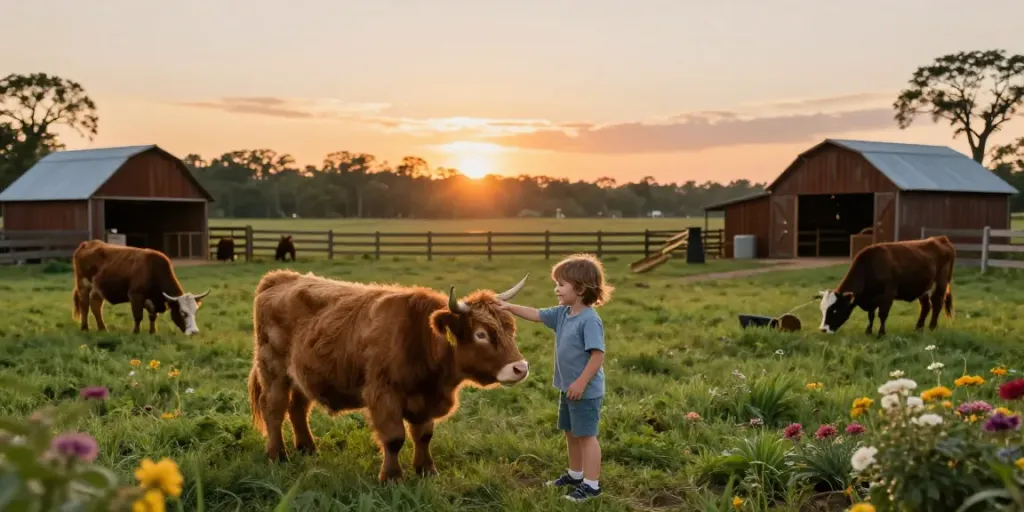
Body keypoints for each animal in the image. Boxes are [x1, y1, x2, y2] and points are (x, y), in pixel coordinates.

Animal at [71, 240, 210, 336]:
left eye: (195, 312)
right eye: (183, 312)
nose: (194, 332)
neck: (153, 270)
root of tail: (87, 243)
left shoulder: (152, 301)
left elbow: (152, 316)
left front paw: (153, 331)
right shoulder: (135, 295)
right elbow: (138, 316)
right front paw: (136, 332)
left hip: (97, 289)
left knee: (96, 306)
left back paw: (102, 328)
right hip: (83, 285)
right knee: (84, 305)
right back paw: (85, 327)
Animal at [248, 269, 531, 482]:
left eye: (510, 329)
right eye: (481, 334)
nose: (520, 368)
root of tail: (280, 277)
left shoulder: (424, 399)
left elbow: (423, 435)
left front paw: (426, 470)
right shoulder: (384, 396)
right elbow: (394, 438)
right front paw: (392, 477)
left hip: (302, 375)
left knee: (297, 409)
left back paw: (307, 448)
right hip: (273, 371)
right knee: (273, 409)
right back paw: (278, 455)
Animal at [817, 235, 955, 337]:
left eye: (834, 310)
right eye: (822, 310)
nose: (823, 329)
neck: (869, 268)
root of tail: (940, 238)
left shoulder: (888, 294)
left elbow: (882, 314)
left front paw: (881, 333)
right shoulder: (871, 298)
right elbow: (871, 315)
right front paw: (868, 331)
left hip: (941, 282)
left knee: (937, 304)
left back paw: (932, 327)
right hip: (923, 288)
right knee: (926, 306)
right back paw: (918, 328)